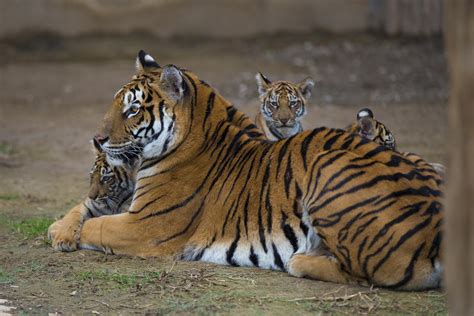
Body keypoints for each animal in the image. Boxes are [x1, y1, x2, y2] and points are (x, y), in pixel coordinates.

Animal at [49, 50, 444, 290]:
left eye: (132, 110)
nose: (97, 139)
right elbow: (85, 207)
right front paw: (60, 230)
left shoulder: (147, 225)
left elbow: (97, 225)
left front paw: (70, 234)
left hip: (329, 170)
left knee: (362, 273)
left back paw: (301, 259)